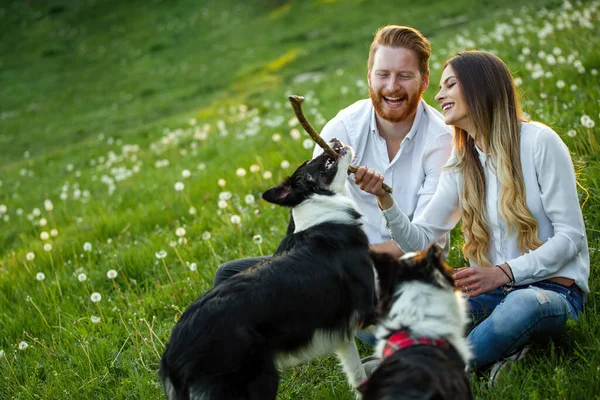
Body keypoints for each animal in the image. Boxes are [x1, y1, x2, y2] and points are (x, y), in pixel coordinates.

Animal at [159, 138, 376, 400]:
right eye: (311, 161)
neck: (319, 207)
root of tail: (172, 355)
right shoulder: (367, 308)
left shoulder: (342, 328)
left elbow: (357, 375)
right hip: (258, 379)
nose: (333, 140)